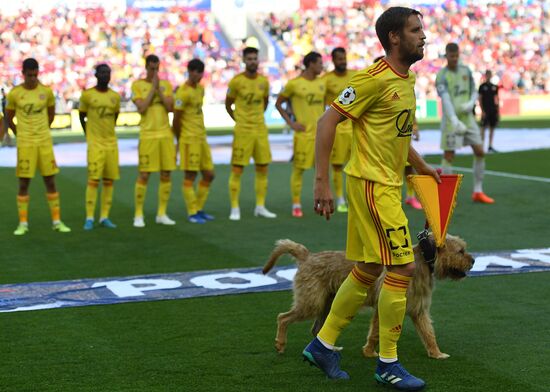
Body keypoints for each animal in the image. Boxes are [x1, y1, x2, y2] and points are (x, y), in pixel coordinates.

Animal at [264, 234, 474, 360]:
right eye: (460, 251)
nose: (473, 260)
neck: (422, 262)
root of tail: (308, 256)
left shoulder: (419, 310)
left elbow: (429, 334)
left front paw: (436, 353)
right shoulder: (385, 308)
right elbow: (375, 333)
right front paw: (370, 352)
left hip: (327, 304)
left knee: (316, 329)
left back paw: (329, 349)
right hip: (312, 304)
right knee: (283, 318)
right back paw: (280, 344)